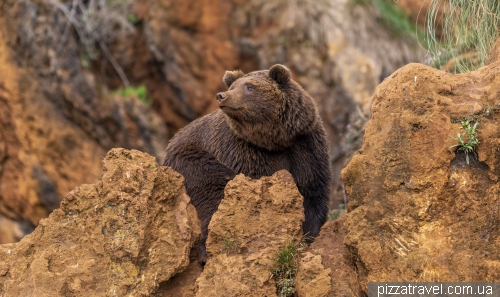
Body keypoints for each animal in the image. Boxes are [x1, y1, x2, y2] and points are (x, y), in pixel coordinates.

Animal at [162, 63, 330, 262]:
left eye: (249, 87)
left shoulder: (306, 148)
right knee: (212, 195)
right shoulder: (244, 152)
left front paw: (310, 234)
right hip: (194, 162)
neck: (275, 141)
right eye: (233, 86)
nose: (222, 95)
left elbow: (313, 191)